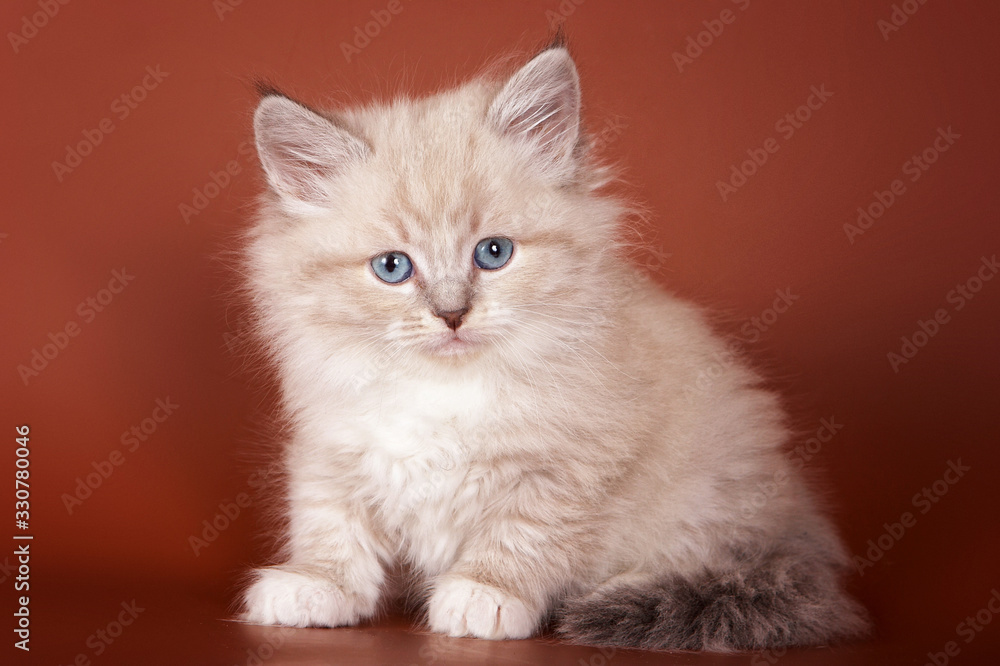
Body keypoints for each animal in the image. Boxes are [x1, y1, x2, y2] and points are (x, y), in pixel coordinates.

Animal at [238, 41, 872, 648]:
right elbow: (331, 524)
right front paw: (315, 585)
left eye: (493, 253)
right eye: (392, 267)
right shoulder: (332, 449)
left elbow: (523, 532)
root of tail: (797, 526)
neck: (444, 389)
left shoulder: (572, 463)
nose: (452, 314)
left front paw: (484, 594)